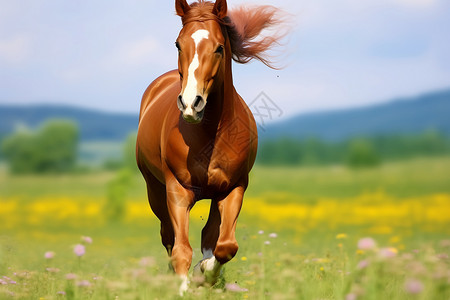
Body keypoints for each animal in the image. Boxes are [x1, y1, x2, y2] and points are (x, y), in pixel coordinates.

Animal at [136, 0, 284, 296]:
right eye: (178, 44)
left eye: (219, 47)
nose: (191, 104)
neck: (210, 135)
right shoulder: (177, 190)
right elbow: (181, 249)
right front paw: (185, 286)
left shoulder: (233, 188)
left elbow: (225, 245)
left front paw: (204, 274)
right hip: (154, 190)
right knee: (168, 237)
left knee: (209, 236)